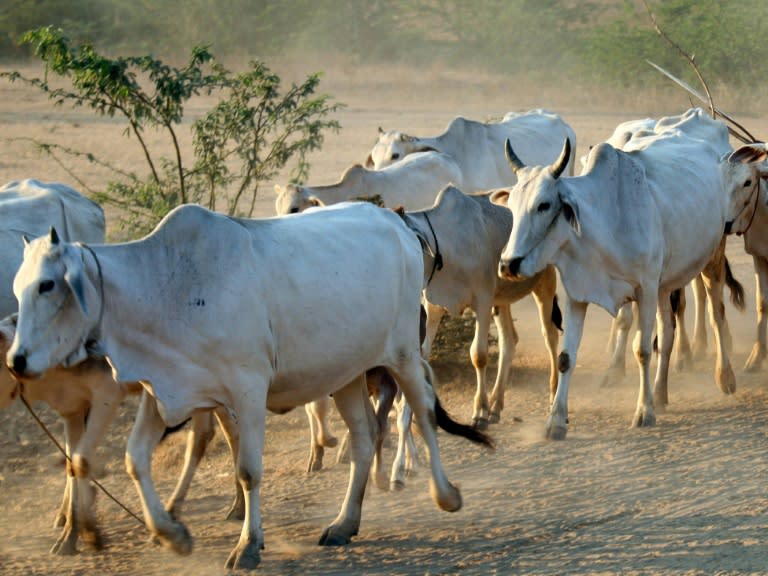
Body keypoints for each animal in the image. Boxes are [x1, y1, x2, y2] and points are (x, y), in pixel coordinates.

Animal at [7, 201, 492, 568]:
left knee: (423, 415)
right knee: (364, 437)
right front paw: (172, 535)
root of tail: (397, 221)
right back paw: (344, 523)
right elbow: (133, 460)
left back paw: (445, 494)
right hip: (347, 374)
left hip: (403, 353)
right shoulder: (161, 390)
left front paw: (248, 545)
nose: (16, 360)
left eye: (47, 285)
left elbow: (247, 471)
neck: (163, 287)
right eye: (17, 288)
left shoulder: (247, 389)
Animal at [492, 121, 752, 438]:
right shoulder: (578, 294)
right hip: (665, 285)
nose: (508, 264)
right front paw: (556, 421)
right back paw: (660, 393)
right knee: (667, 334)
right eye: (512, 206)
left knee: (716, 314)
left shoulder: (645, 289)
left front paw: (643, 411)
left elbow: (642, 349)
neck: (604, 222)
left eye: (543, 205)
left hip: (711, 260)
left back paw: (724, 377)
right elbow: (566, 357)